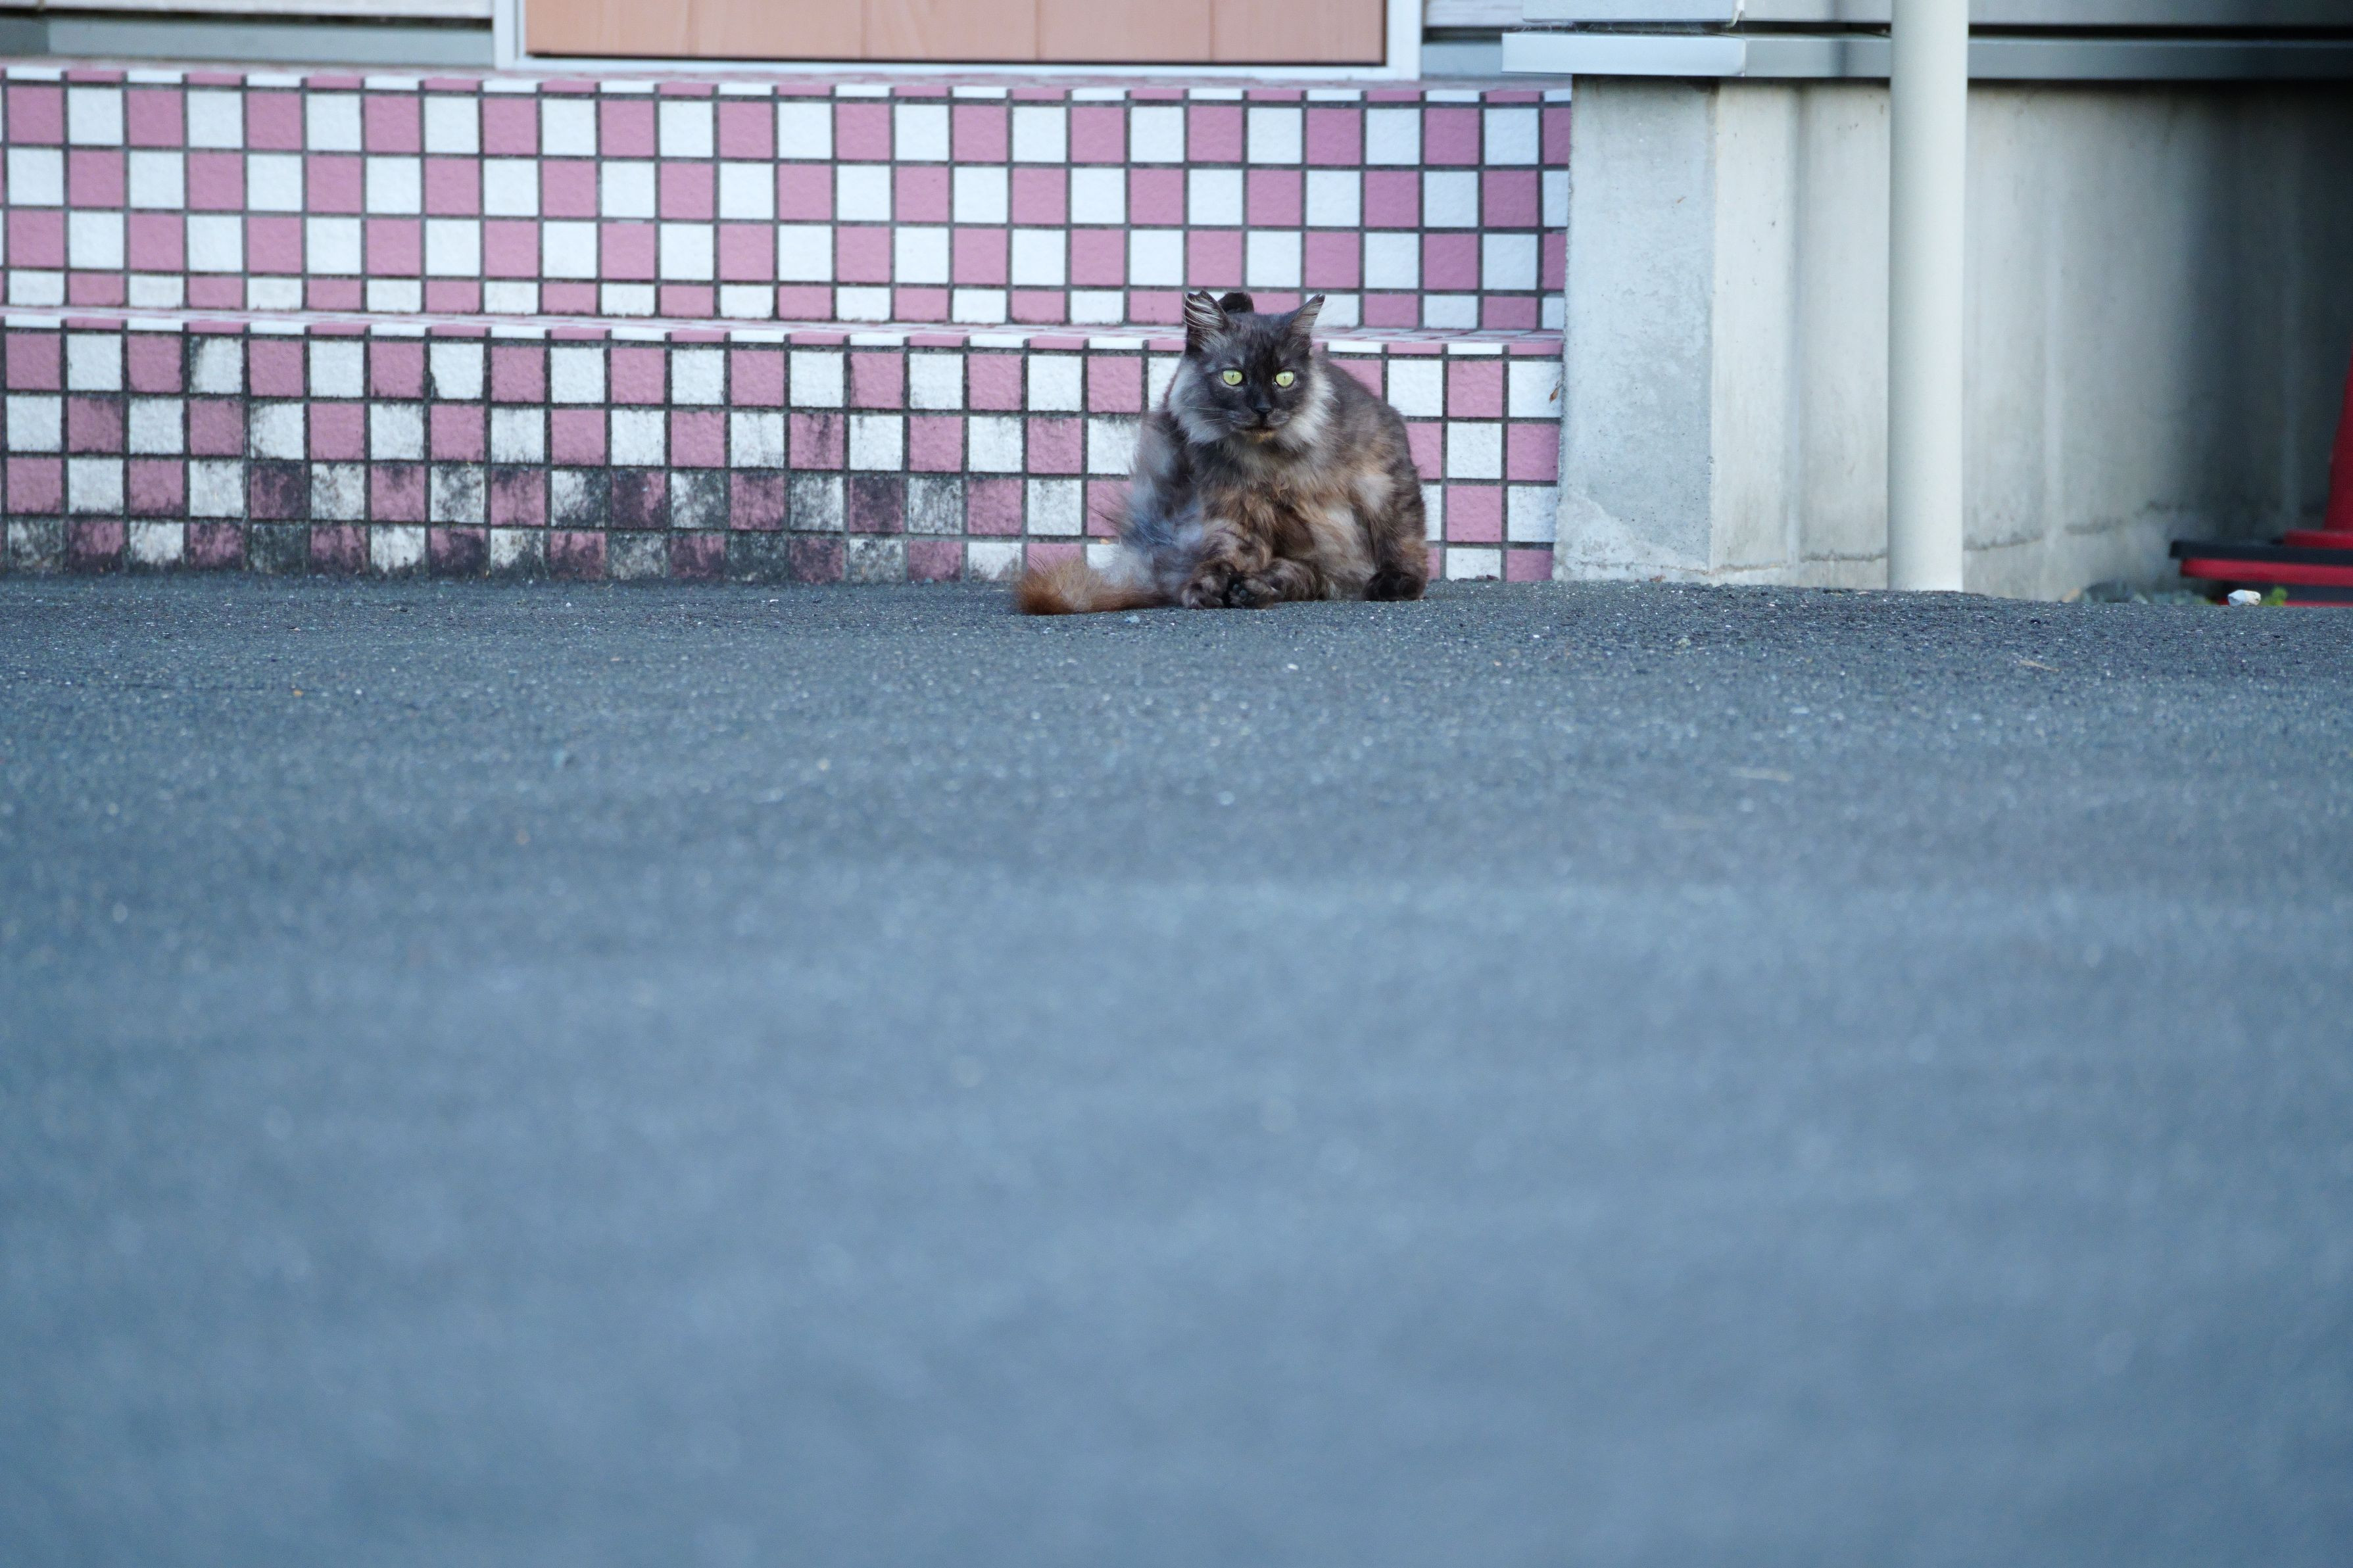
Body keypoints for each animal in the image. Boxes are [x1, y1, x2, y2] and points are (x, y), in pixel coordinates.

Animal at [1015, 290, 1429, 614]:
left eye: (1284, 378)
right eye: (1234, 377)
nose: (1263, 409)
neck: (1275, 461)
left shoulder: (1384, 475)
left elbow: (1402, 535)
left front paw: (1399, 584)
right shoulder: (1234, 507)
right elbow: (1224, 553)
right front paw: (1206, 589)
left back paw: (1253, 590)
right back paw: (1247, 590)